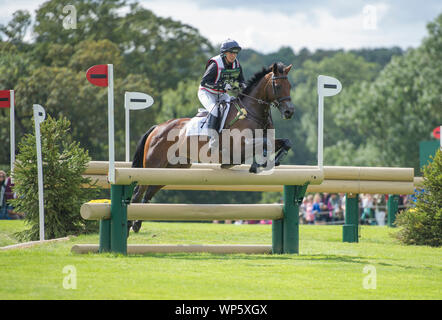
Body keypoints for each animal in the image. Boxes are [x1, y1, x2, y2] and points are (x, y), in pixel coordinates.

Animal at [126, 62, 296, 232]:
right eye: (277, 86)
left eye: (290, 86)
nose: (289, 112)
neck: (252, 113)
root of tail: (157, 127)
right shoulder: (237, 148)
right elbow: (265, 143)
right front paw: (257, 164)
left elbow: (285, 142)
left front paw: (274, 160)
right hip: (154, 165)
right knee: (138, 192)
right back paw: (129, 225)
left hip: (173, 168)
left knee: (149, 192)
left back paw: (137, 224)